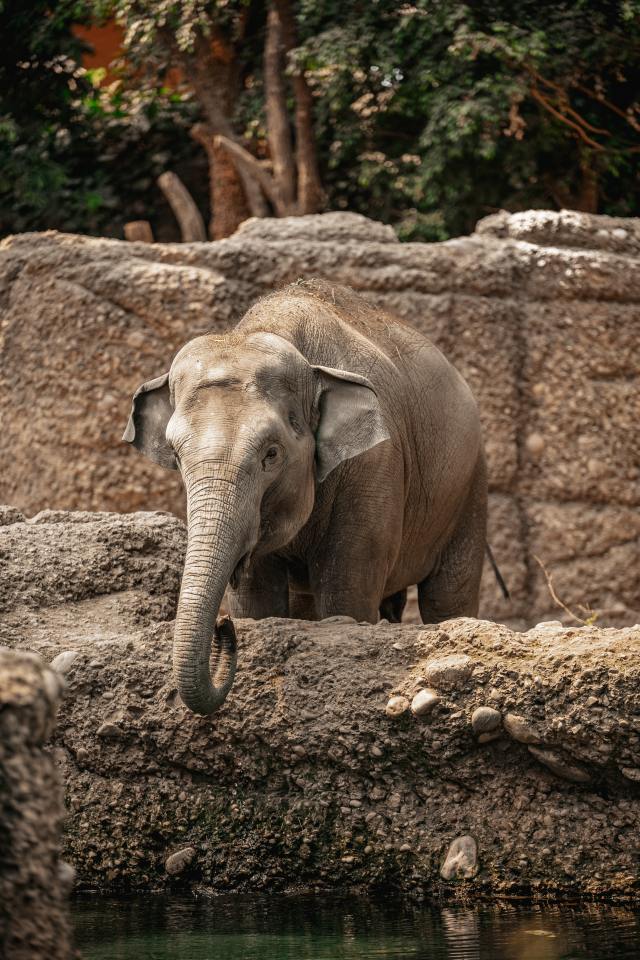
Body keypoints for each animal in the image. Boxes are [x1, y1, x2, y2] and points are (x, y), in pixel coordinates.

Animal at [125, 278, 490, 712]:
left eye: (271, 454)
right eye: (176, 455)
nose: (223, 627)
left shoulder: (375, 464)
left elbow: (346, 595)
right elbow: (259, 599)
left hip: (469, 486)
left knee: (447, 597)